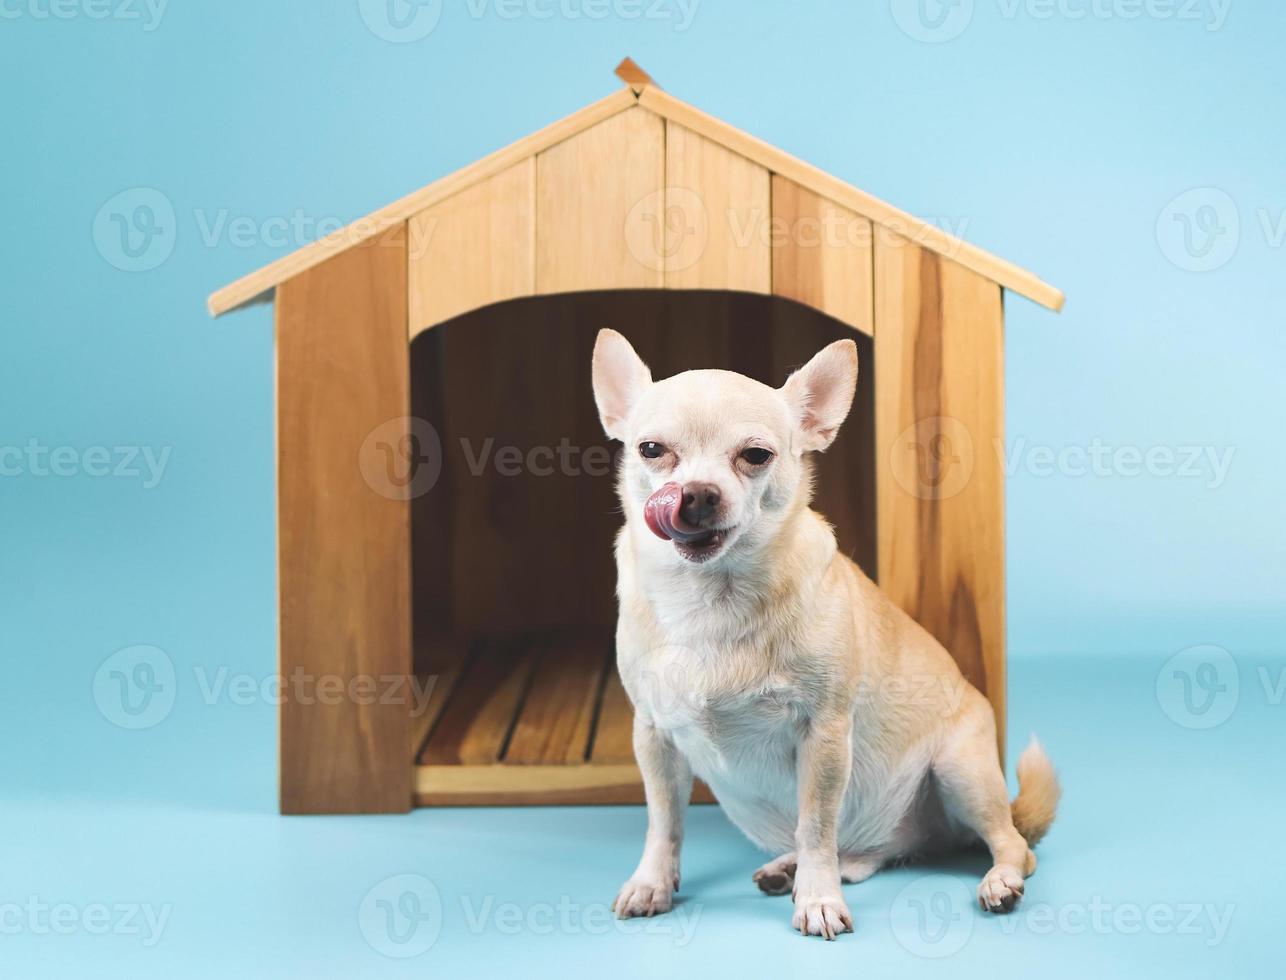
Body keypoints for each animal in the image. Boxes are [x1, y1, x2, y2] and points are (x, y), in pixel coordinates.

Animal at [591, 329, 1054, 941]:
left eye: (756, 455)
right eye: (651, 450)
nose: (696, 493)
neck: (713, 597)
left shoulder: (825, 735)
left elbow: (815, 824)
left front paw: (818, 900)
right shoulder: (655, 735)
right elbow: (664, 821)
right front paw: (652, 882)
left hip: (961, 771)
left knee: (1013, 845)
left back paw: (998, 881)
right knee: (866, 854)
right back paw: (792, 869)